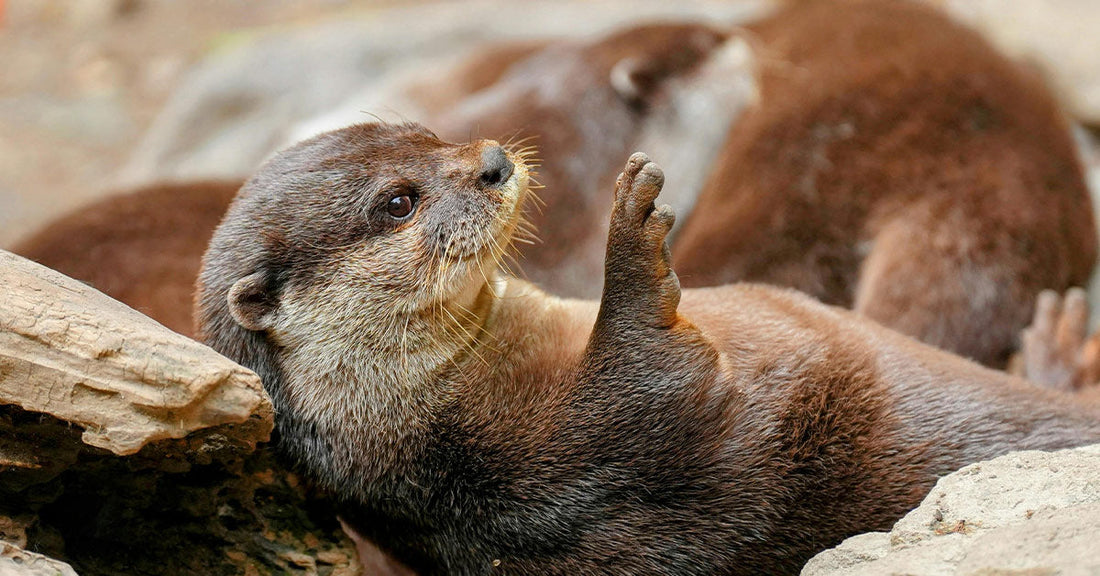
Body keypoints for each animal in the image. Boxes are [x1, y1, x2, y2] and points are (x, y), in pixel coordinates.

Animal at [197, 122, 1100, 574]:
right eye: (396, 202)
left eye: (421, 132)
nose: (490, 161)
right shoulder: (556, 469)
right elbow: (662, 381)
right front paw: (632, 240)